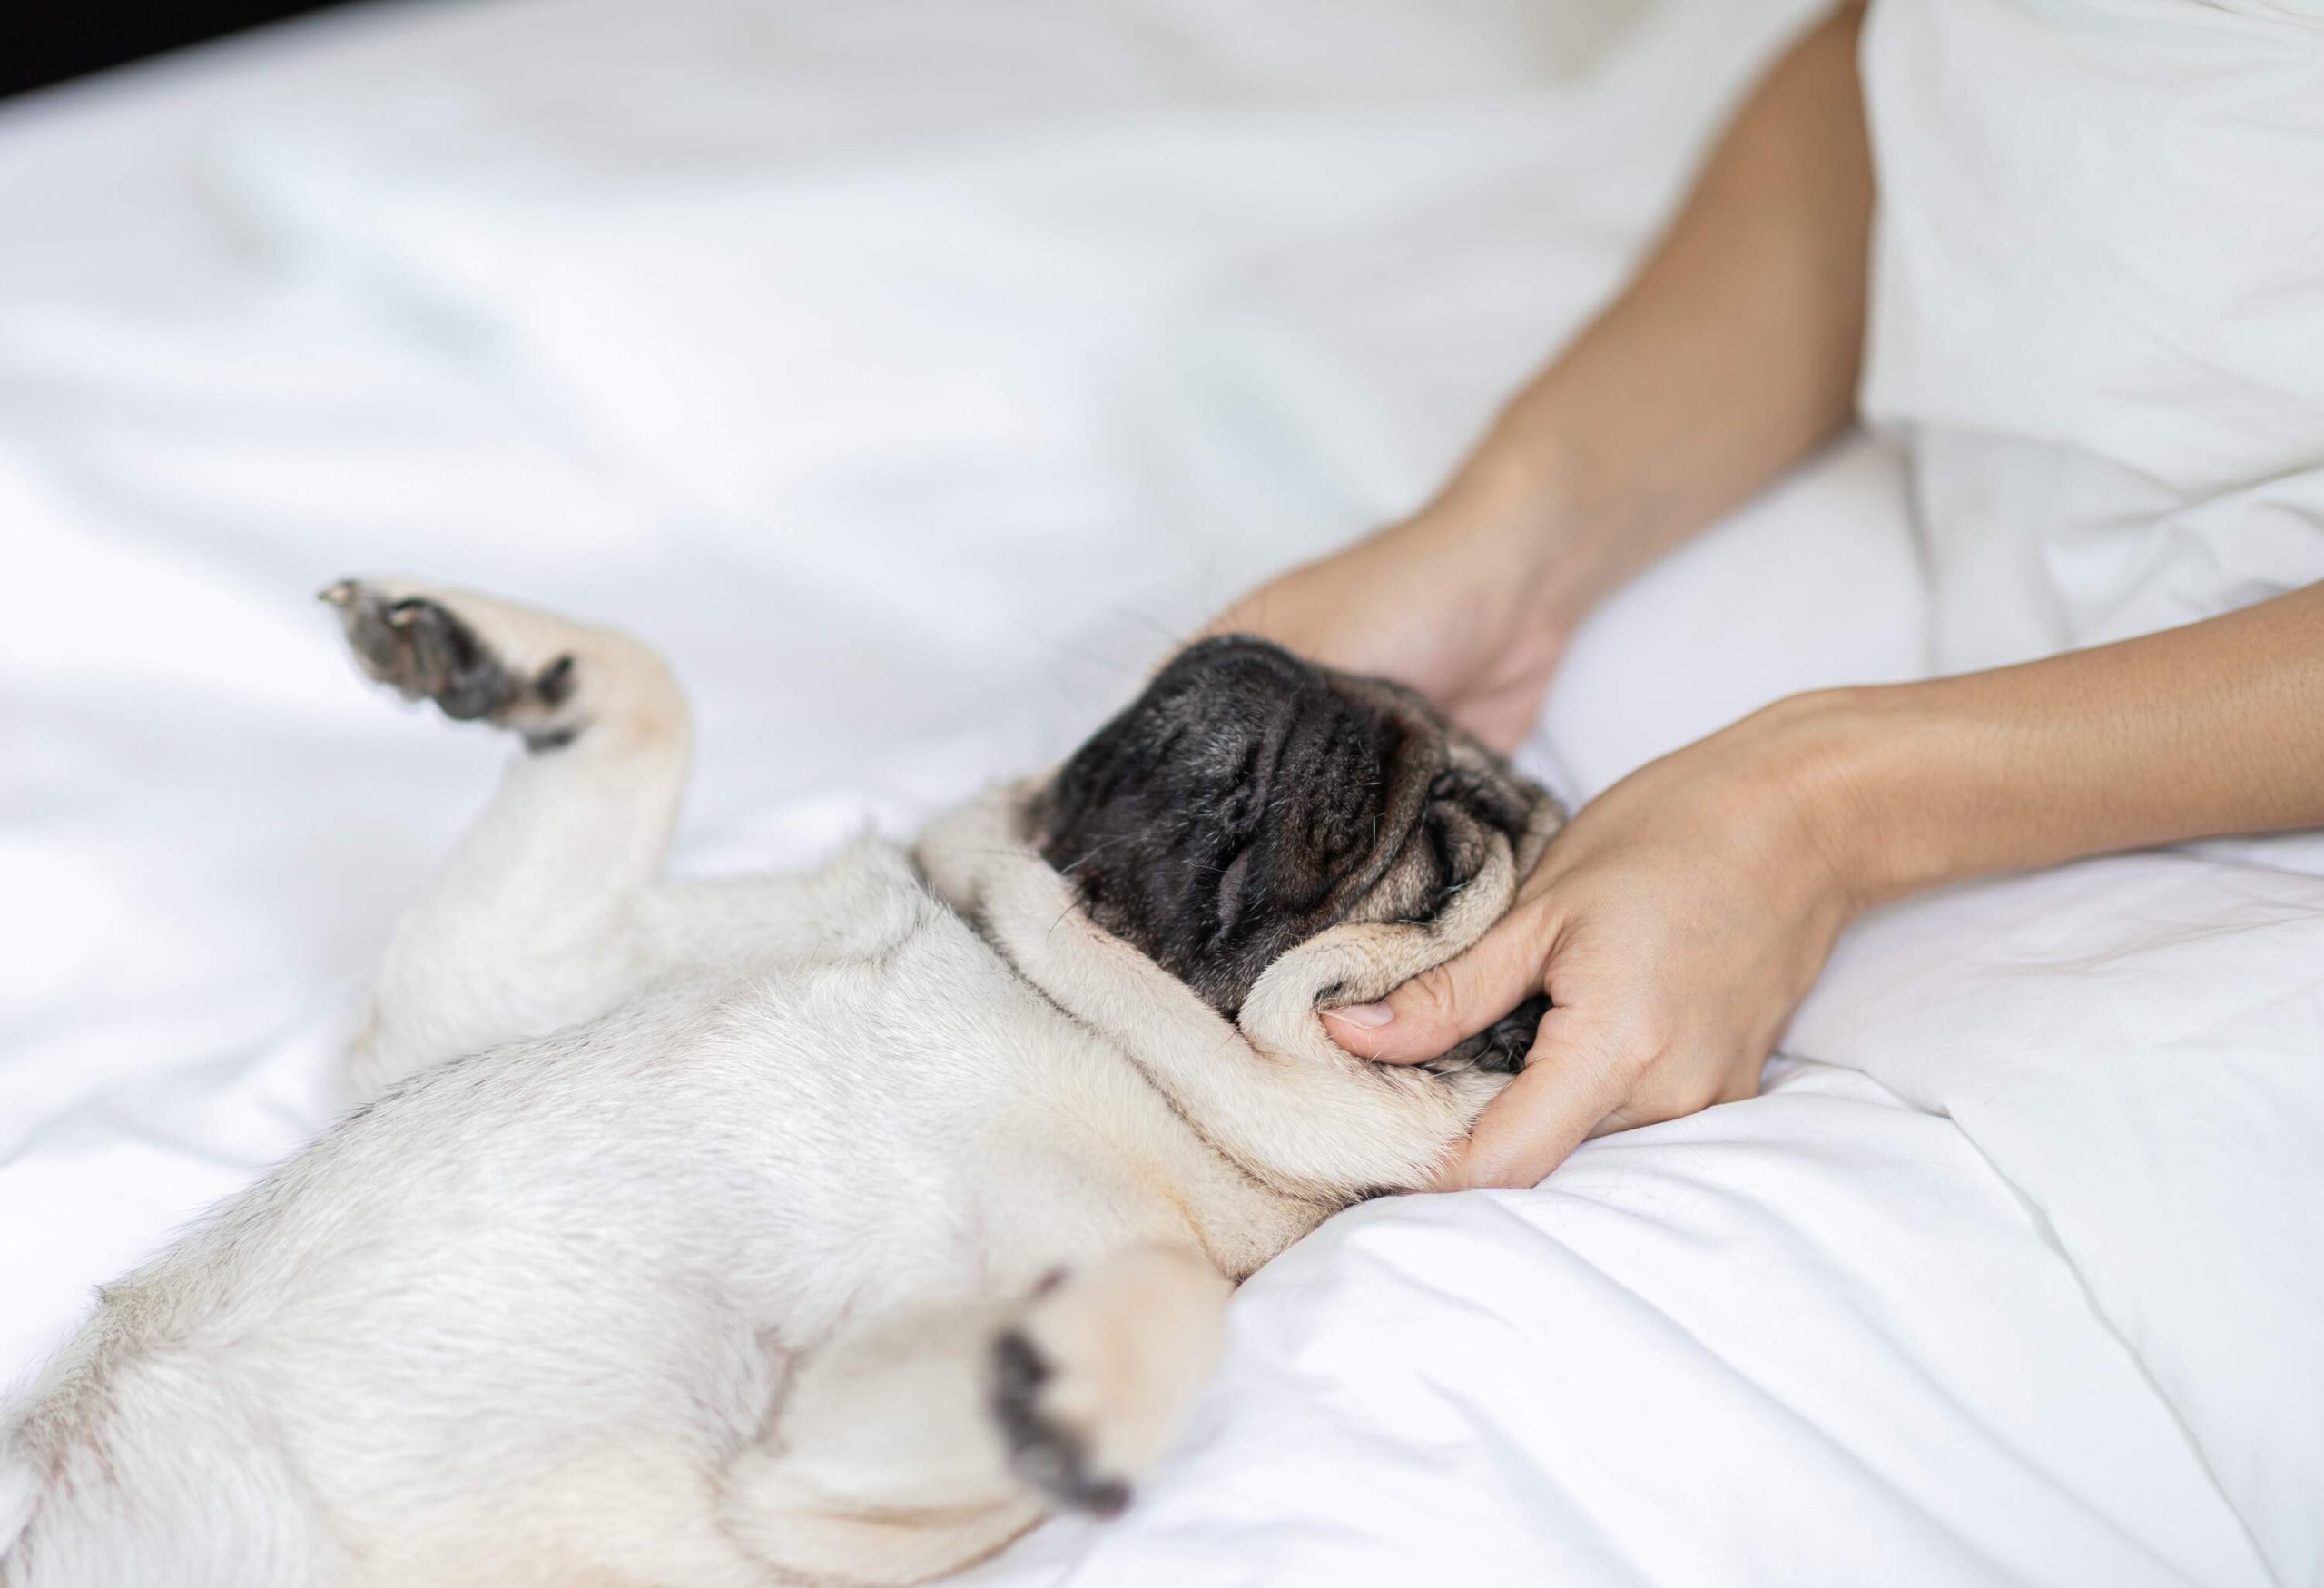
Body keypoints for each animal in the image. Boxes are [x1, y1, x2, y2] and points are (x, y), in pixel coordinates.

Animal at [5, 583, 1561, 1588]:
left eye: (1445, 856)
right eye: (1373, 689)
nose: (1315, 683)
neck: (1068, 997)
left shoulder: (815, 1513)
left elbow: (1178, 1298)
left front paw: (1068, 1384)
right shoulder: (514, 970)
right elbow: (652, 704)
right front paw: (510, 654)